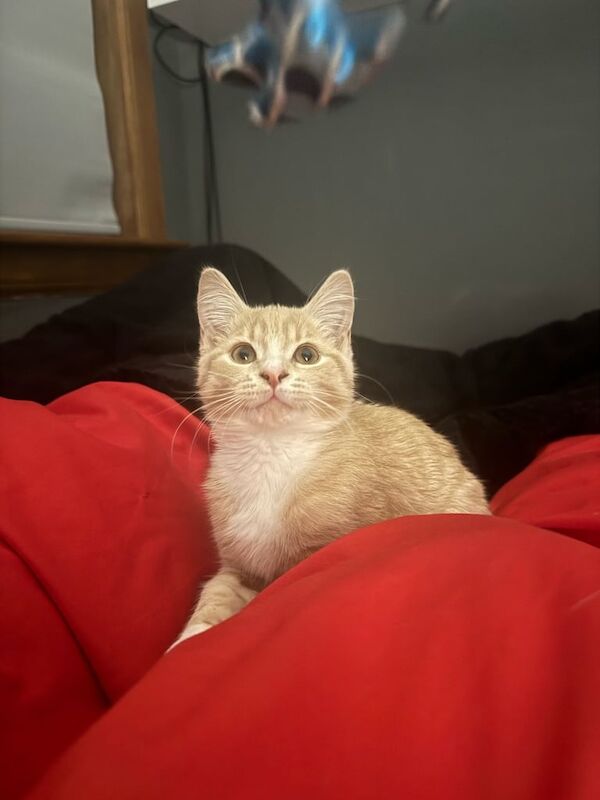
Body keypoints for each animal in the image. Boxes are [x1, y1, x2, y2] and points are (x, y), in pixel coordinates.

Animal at [171, 267, 488, 647]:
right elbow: (216, 592)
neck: (272, 455)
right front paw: (186, 642)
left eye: (306, 355)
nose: (273, 374)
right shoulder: (238, 564)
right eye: (243, 354)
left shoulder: (322, 551)